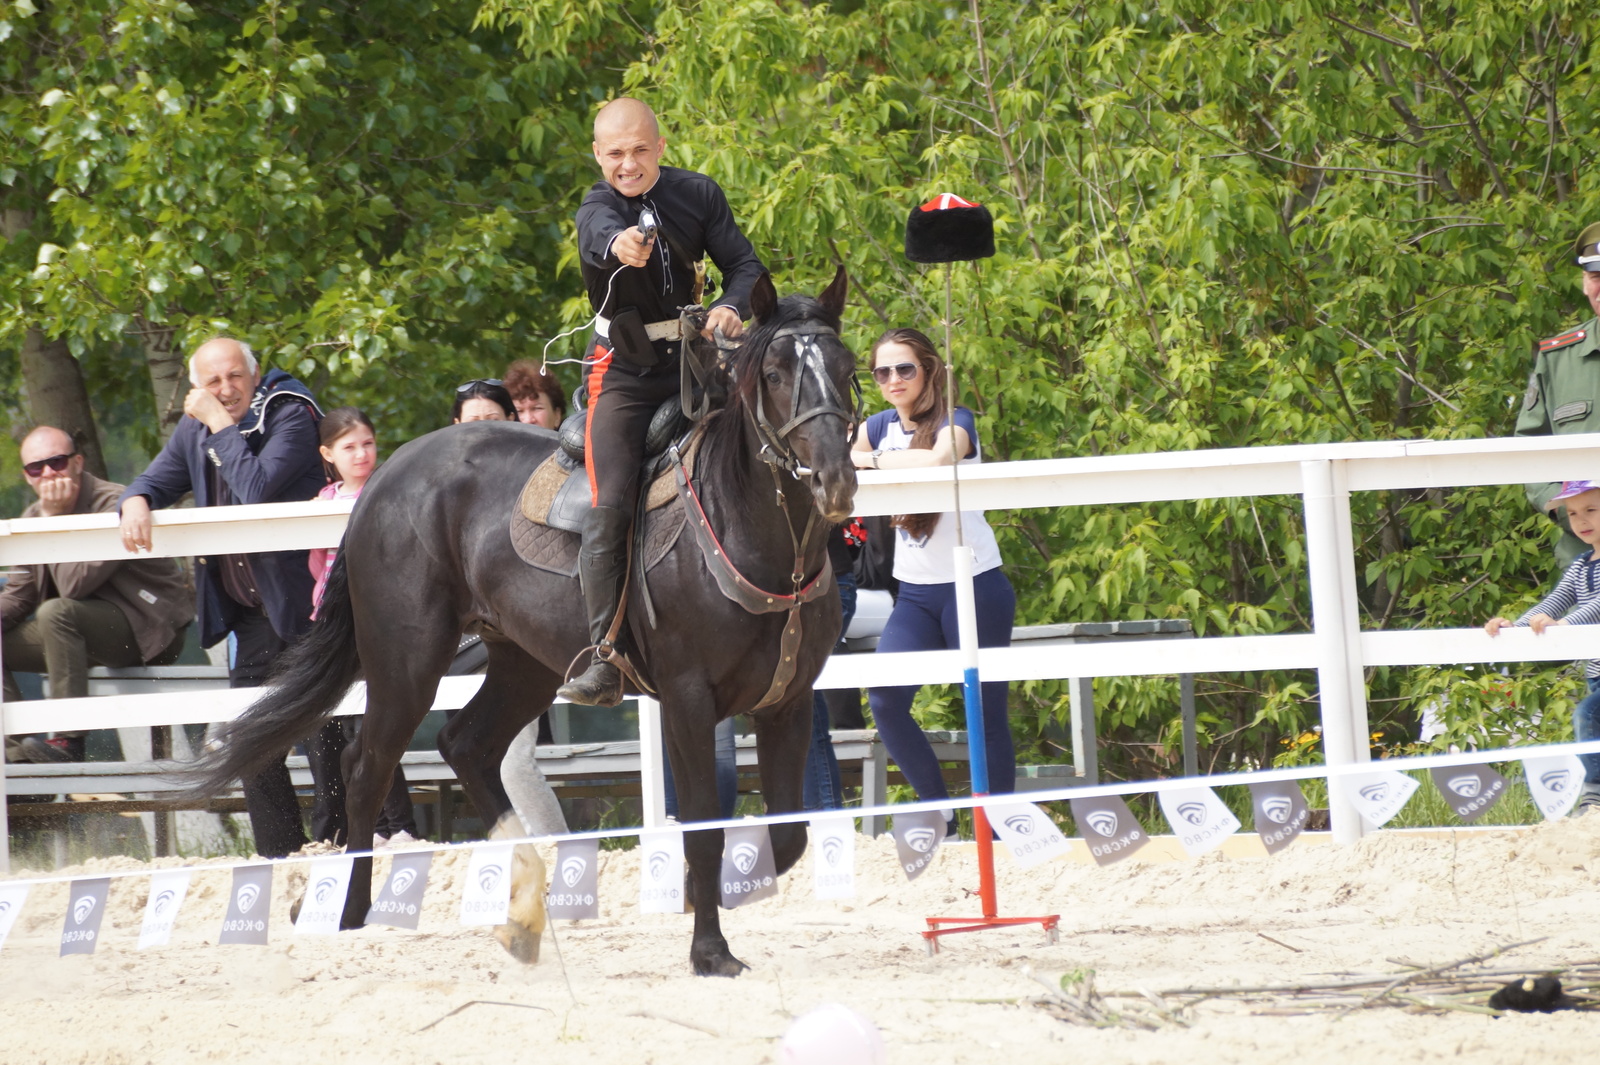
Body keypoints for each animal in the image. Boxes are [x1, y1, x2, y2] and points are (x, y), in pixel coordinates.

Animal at [187, 267, 864, 972]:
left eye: (846, 368)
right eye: (776, 374)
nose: (834, 481)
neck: (752, 536)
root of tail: (381, 481)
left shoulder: (787, 702)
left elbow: (788, 837)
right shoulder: (687, 700)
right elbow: (705, 831)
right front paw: (709, 949)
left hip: (525, 663)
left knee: (466, 745)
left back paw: (524, 897)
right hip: (408, 662)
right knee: (366, 764)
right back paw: (348, 907)